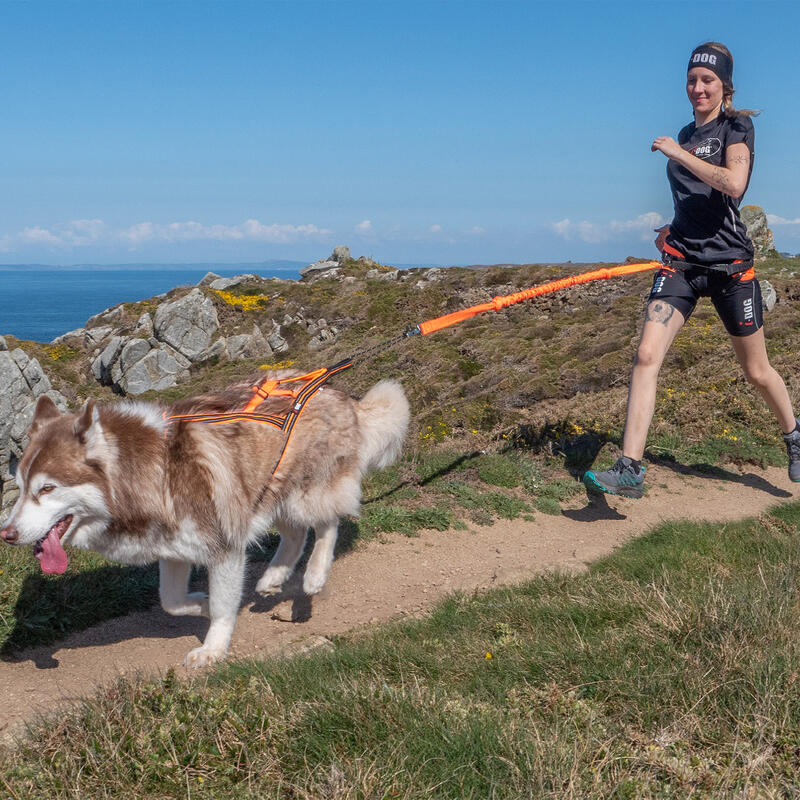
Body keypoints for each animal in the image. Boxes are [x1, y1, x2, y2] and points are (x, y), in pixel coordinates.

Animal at [0, 376, 410, 668]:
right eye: (19, 487)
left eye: (47, 488)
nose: (7, 533)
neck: (154, 474)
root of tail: (339, 392)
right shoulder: (174, 549)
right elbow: (171, 601)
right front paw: (204, 603)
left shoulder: (224, 546)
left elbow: (223, 605)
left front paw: (213, 647)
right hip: (266, 492)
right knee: (295, 534)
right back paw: (273, 578)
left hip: (305, 492)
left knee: (327, 524)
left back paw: (314, 576)